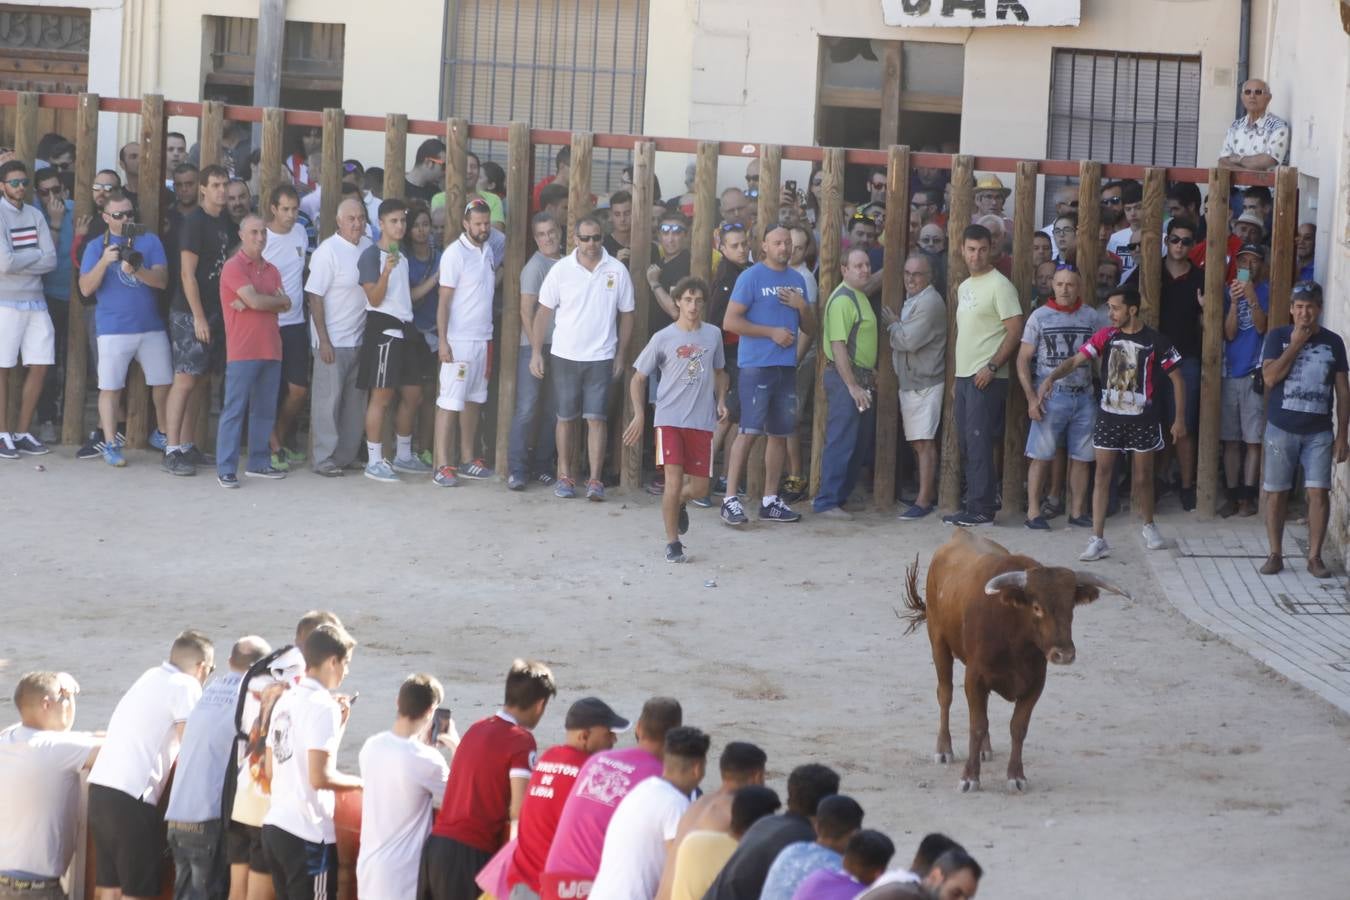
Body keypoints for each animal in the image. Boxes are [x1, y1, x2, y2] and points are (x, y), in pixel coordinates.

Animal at [907, 531, 1128, 793]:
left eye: (1071, 608)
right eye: (1037, 607)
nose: (1064, 655)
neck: (1015, 637)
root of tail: (960, 534)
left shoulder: (1035, 683)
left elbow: (1018, 727)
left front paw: (1016, 776)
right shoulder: (974, 678)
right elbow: (977, 724)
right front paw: (970, 777)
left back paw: (985, 750)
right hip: (938, 641)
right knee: (945, 694)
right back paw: (944, 749)